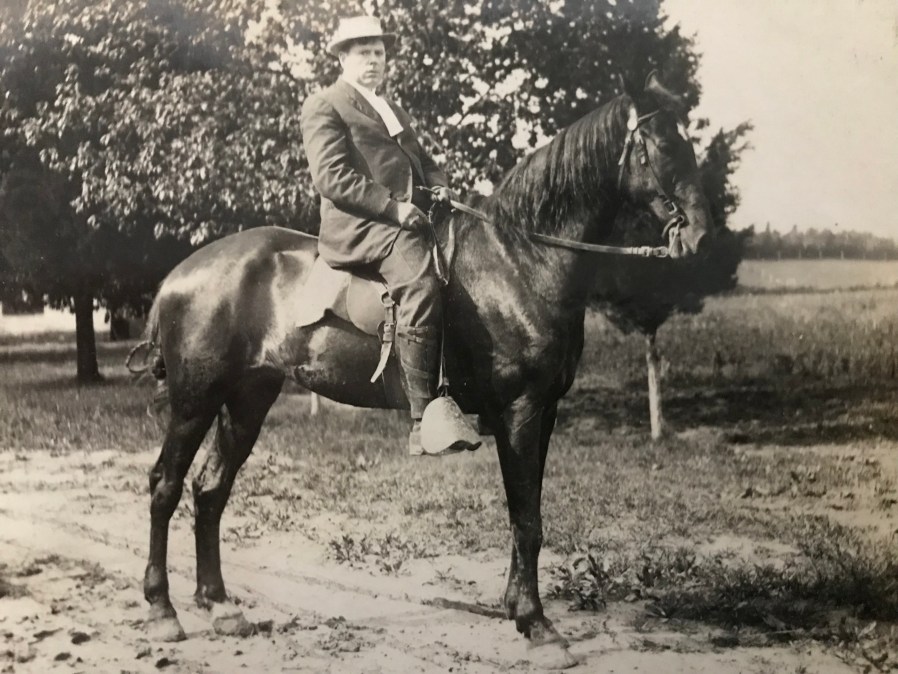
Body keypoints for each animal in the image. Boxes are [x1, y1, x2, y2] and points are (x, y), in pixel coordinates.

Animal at [138, 72, 712, 668]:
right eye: (663, 146)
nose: (698, 235)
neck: (519, 260)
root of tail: (178, 275)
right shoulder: (520, 411)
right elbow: (526, 518)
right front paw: (538, 625)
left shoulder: (545, 412)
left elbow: (526, 515)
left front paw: (519, 611)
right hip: (195, 399)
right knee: (165, 485)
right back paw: (163, 611)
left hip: (248, 398)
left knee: (211, 488)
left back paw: (219, 605)